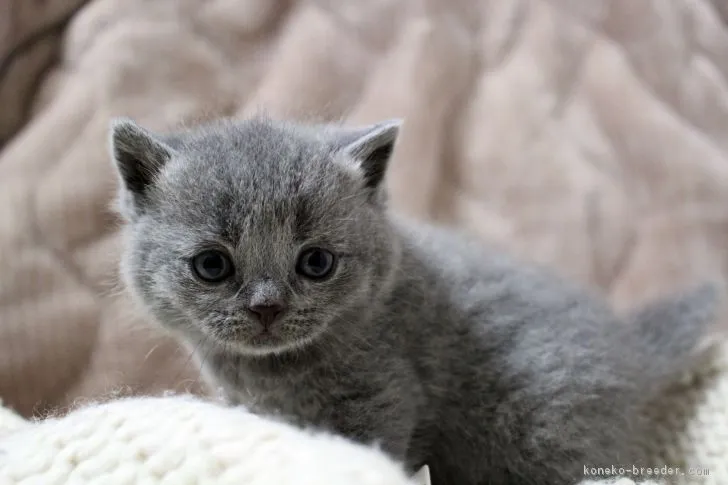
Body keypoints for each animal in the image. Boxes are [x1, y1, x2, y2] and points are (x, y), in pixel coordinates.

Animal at [111, 116, 720, 484]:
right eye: (212, 266)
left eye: (316, 263)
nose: (267, 307)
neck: (274, 372)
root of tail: (628, 344)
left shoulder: (384, 395)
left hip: (543, 431)